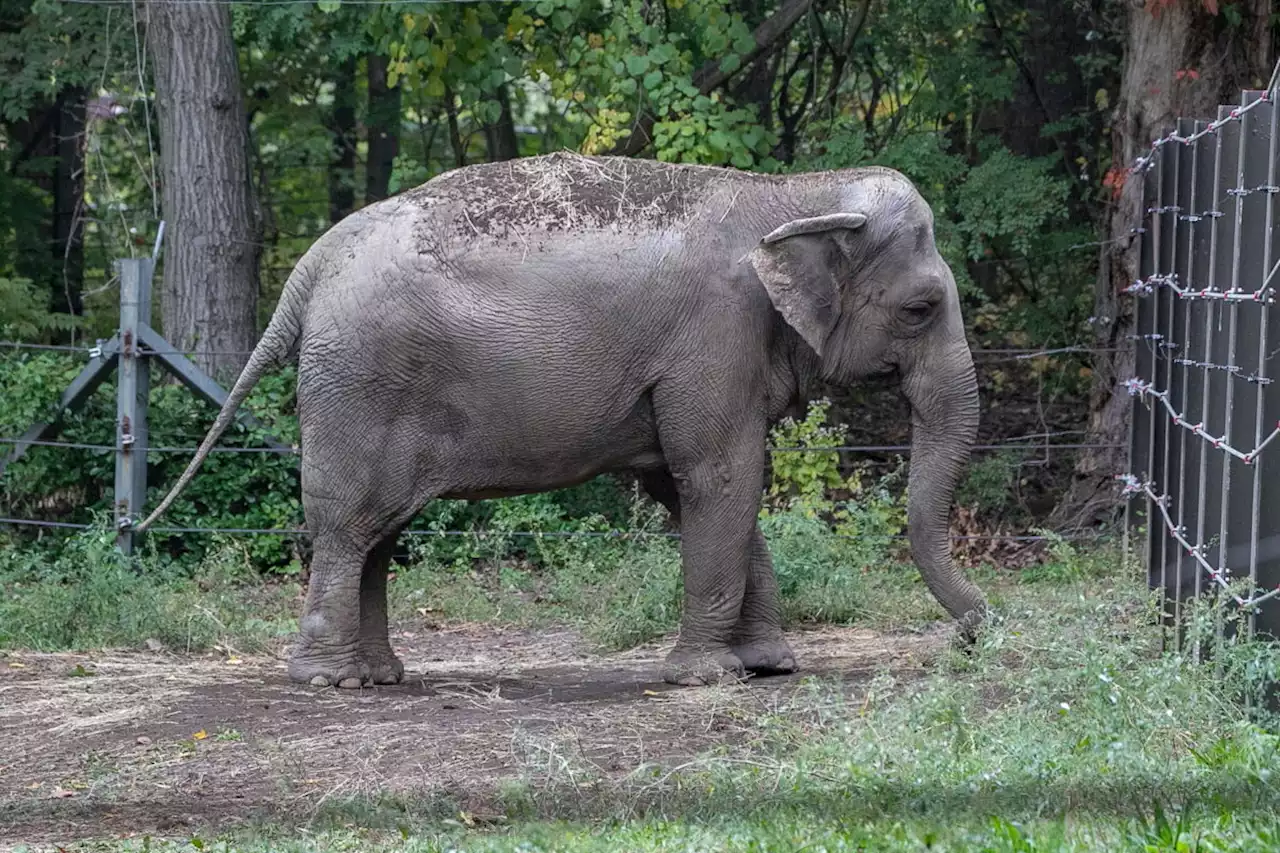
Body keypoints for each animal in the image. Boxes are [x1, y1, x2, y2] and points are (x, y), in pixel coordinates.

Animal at [135, 151, 983, 686]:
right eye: (920, 308)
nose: (977, 633)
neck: (795, 193)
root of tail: (313, 264)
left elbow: (692, 486)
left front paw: (768, 665)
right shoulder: (715, 336)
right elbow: (721, 476)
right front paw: (708, 678)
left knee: (380, 531)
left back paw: (378, 676)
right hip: (359, 384)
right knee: (349, 525)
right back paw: (330, 682)